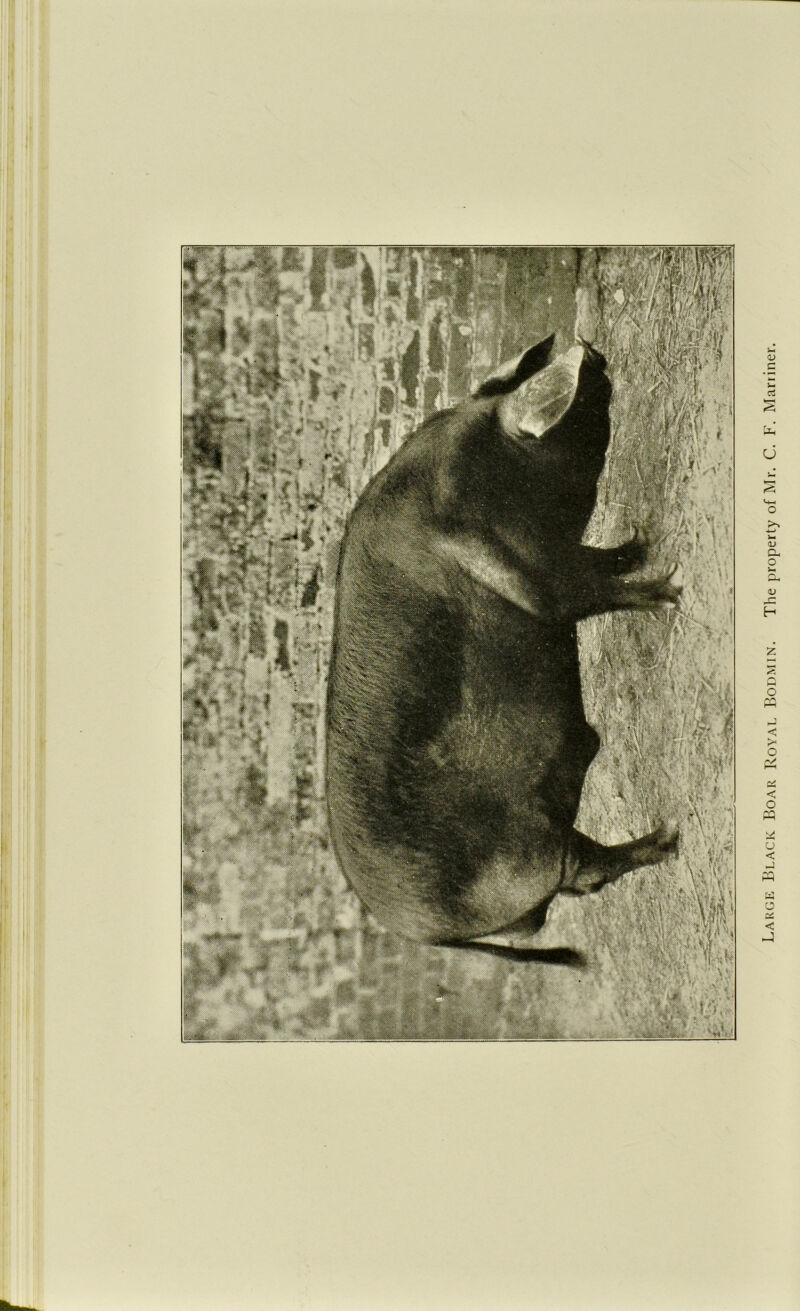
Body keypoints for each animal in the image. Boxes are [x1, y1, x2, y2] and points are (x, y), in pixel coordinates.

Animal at [325, 334, 680, 962]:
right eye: (580, 407)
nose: (589, 348)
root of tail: (424, 934)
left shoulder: (564, 553)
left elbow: (601, 562)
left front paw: (642, 541)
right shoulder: (530, 573)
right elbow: (583, 594)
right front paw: (668, 593)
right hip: (527, 859)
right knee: (585, 871)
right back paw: (668, 836)